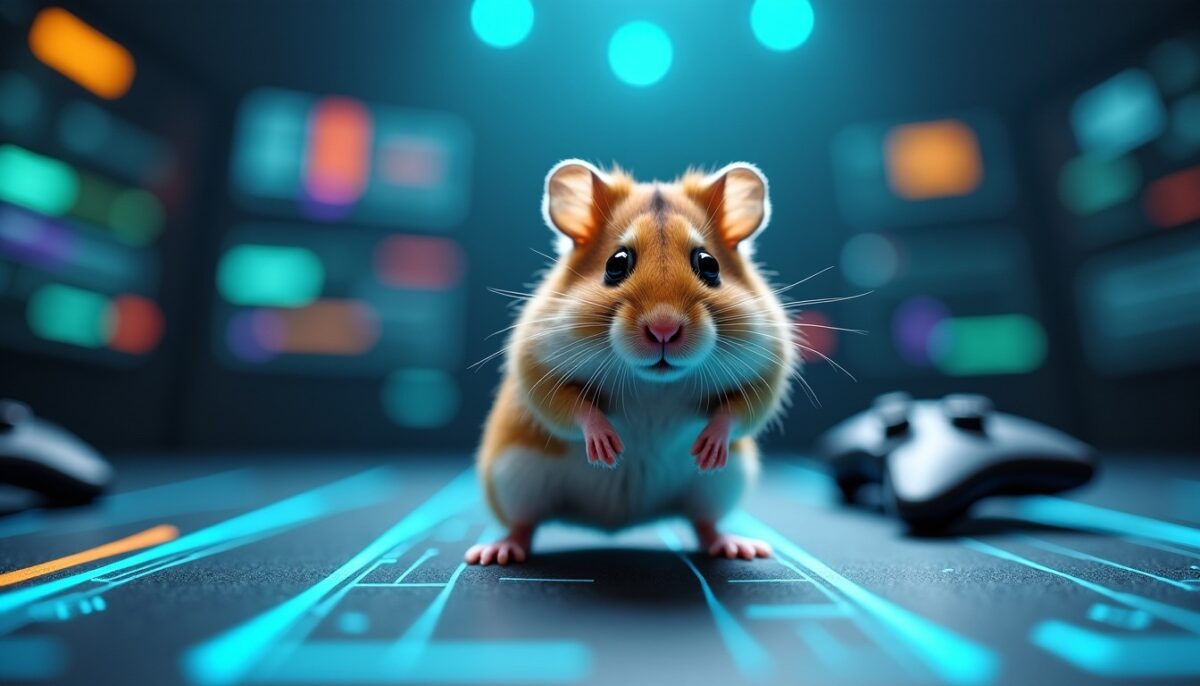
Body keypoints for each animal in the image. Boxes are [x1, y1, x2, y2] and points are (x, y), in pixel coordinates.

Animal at [466, 160, 798, 565]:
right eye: (617, 263)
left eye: (709, 265)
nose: (663, 329)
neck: (655, 383)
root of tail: (616, 523)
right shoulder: (537, 369)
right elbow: (570, 406)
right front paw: (608, 449)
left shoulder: (768, 371)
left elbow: (739, 410)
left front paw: (707, 450)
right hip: (513, 479)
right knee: (523, 524)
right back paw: (496, 552)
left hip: (724, 484)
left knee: (704, 522)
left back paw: (739, 547)